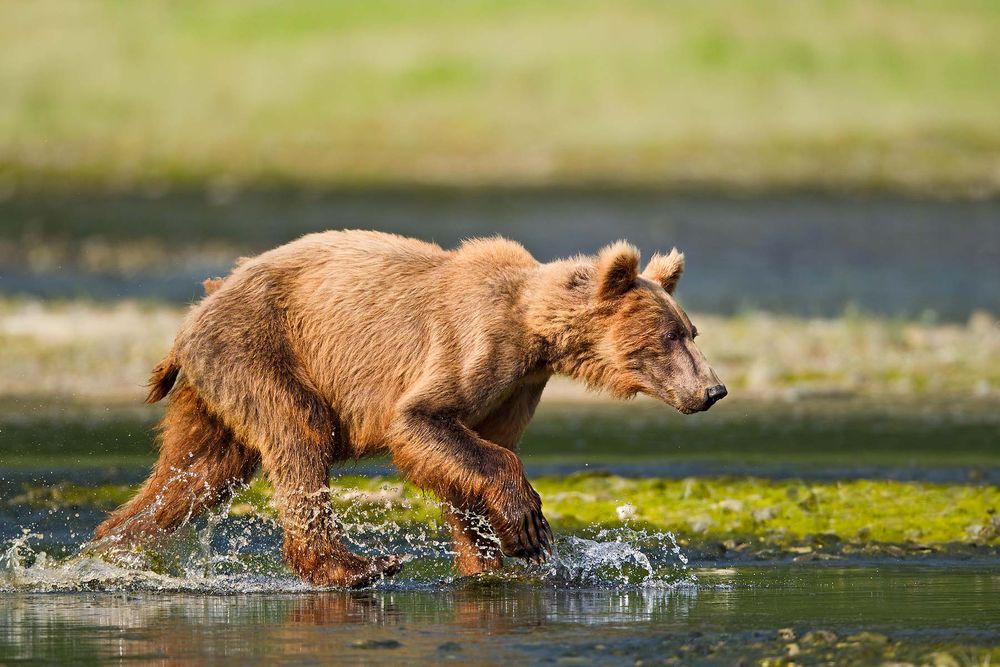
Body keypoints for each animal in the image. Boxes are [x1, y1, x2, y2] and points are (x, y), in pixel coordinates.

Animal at [94, 230, 726, 587]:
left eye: (691, 331)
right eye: (672, 336)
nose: (713, 389)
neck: (537, 334)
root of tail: (191, 316)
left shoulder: (516, 388)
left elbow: (464, 465)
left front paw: (488, 560)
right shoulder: (475, 346)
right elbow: (424, 423)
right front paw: (529, 526)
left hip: (213, 391)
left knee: (192, 475)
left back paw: (113, 549)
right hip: (259, 348)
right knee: (299, 435)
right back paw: (355, 566)